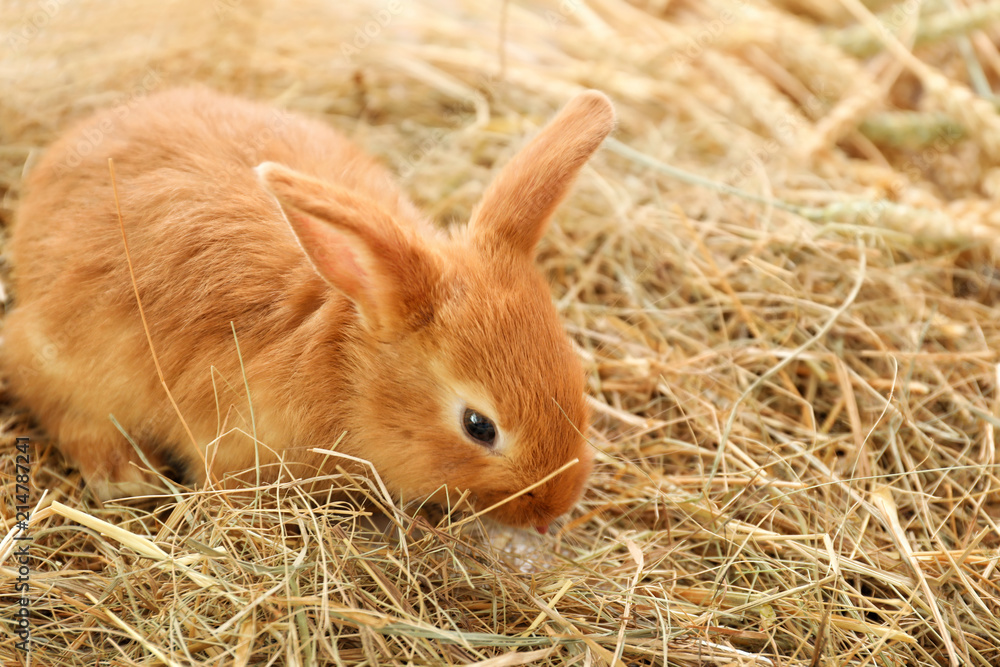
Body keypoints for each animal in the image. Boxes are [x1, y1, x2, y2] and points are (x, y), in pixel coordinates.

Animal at [1, 85, 616, 532]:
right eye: (479, 426)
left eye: (577, 371)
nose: (554, 506)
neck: (346, 367)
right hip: (70, 360)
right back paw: (125, 478)